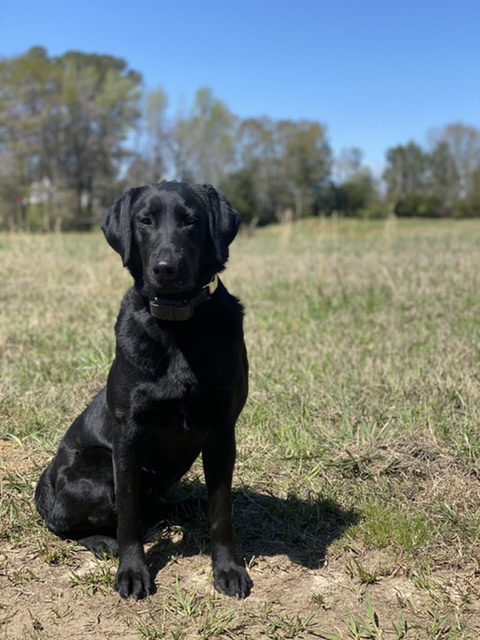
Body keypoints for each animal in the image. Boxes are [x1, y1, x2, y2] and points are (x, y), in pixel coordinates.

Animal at [34, 180, 251, 600]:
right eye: (145, 221)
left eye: (191, 221)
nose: (165, 269)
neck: (177, 325)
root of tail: (45, 487)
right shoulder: (128, 437)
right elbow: (129, 518)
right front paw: (132, 571)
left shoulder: (221, 431)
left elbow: (222, 513)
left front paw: (228, 569)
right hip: (98, 471)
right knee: (68, 525)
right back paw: (103, 541)